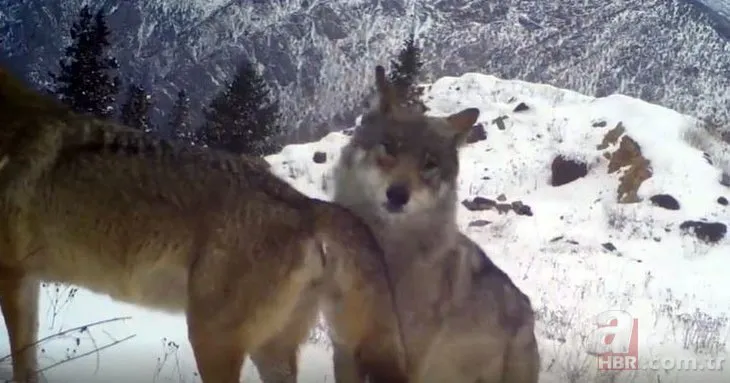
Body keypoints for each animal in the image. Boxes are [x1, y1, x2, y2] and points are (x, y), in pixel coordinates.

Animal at [0, 69, 406, 383]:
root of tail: (308, 205)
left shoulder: (12, 274)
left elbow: (22, 360)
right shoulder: (27, 277)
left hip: (211, 341)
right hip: (266, 350)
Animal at [326, 64, 540, 382]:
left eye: (429, 164)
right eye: (389, 148)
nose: (398, 195)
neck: (386, 259)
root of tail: (529, 310)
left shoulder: (406, 365)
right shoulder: (345, 351)